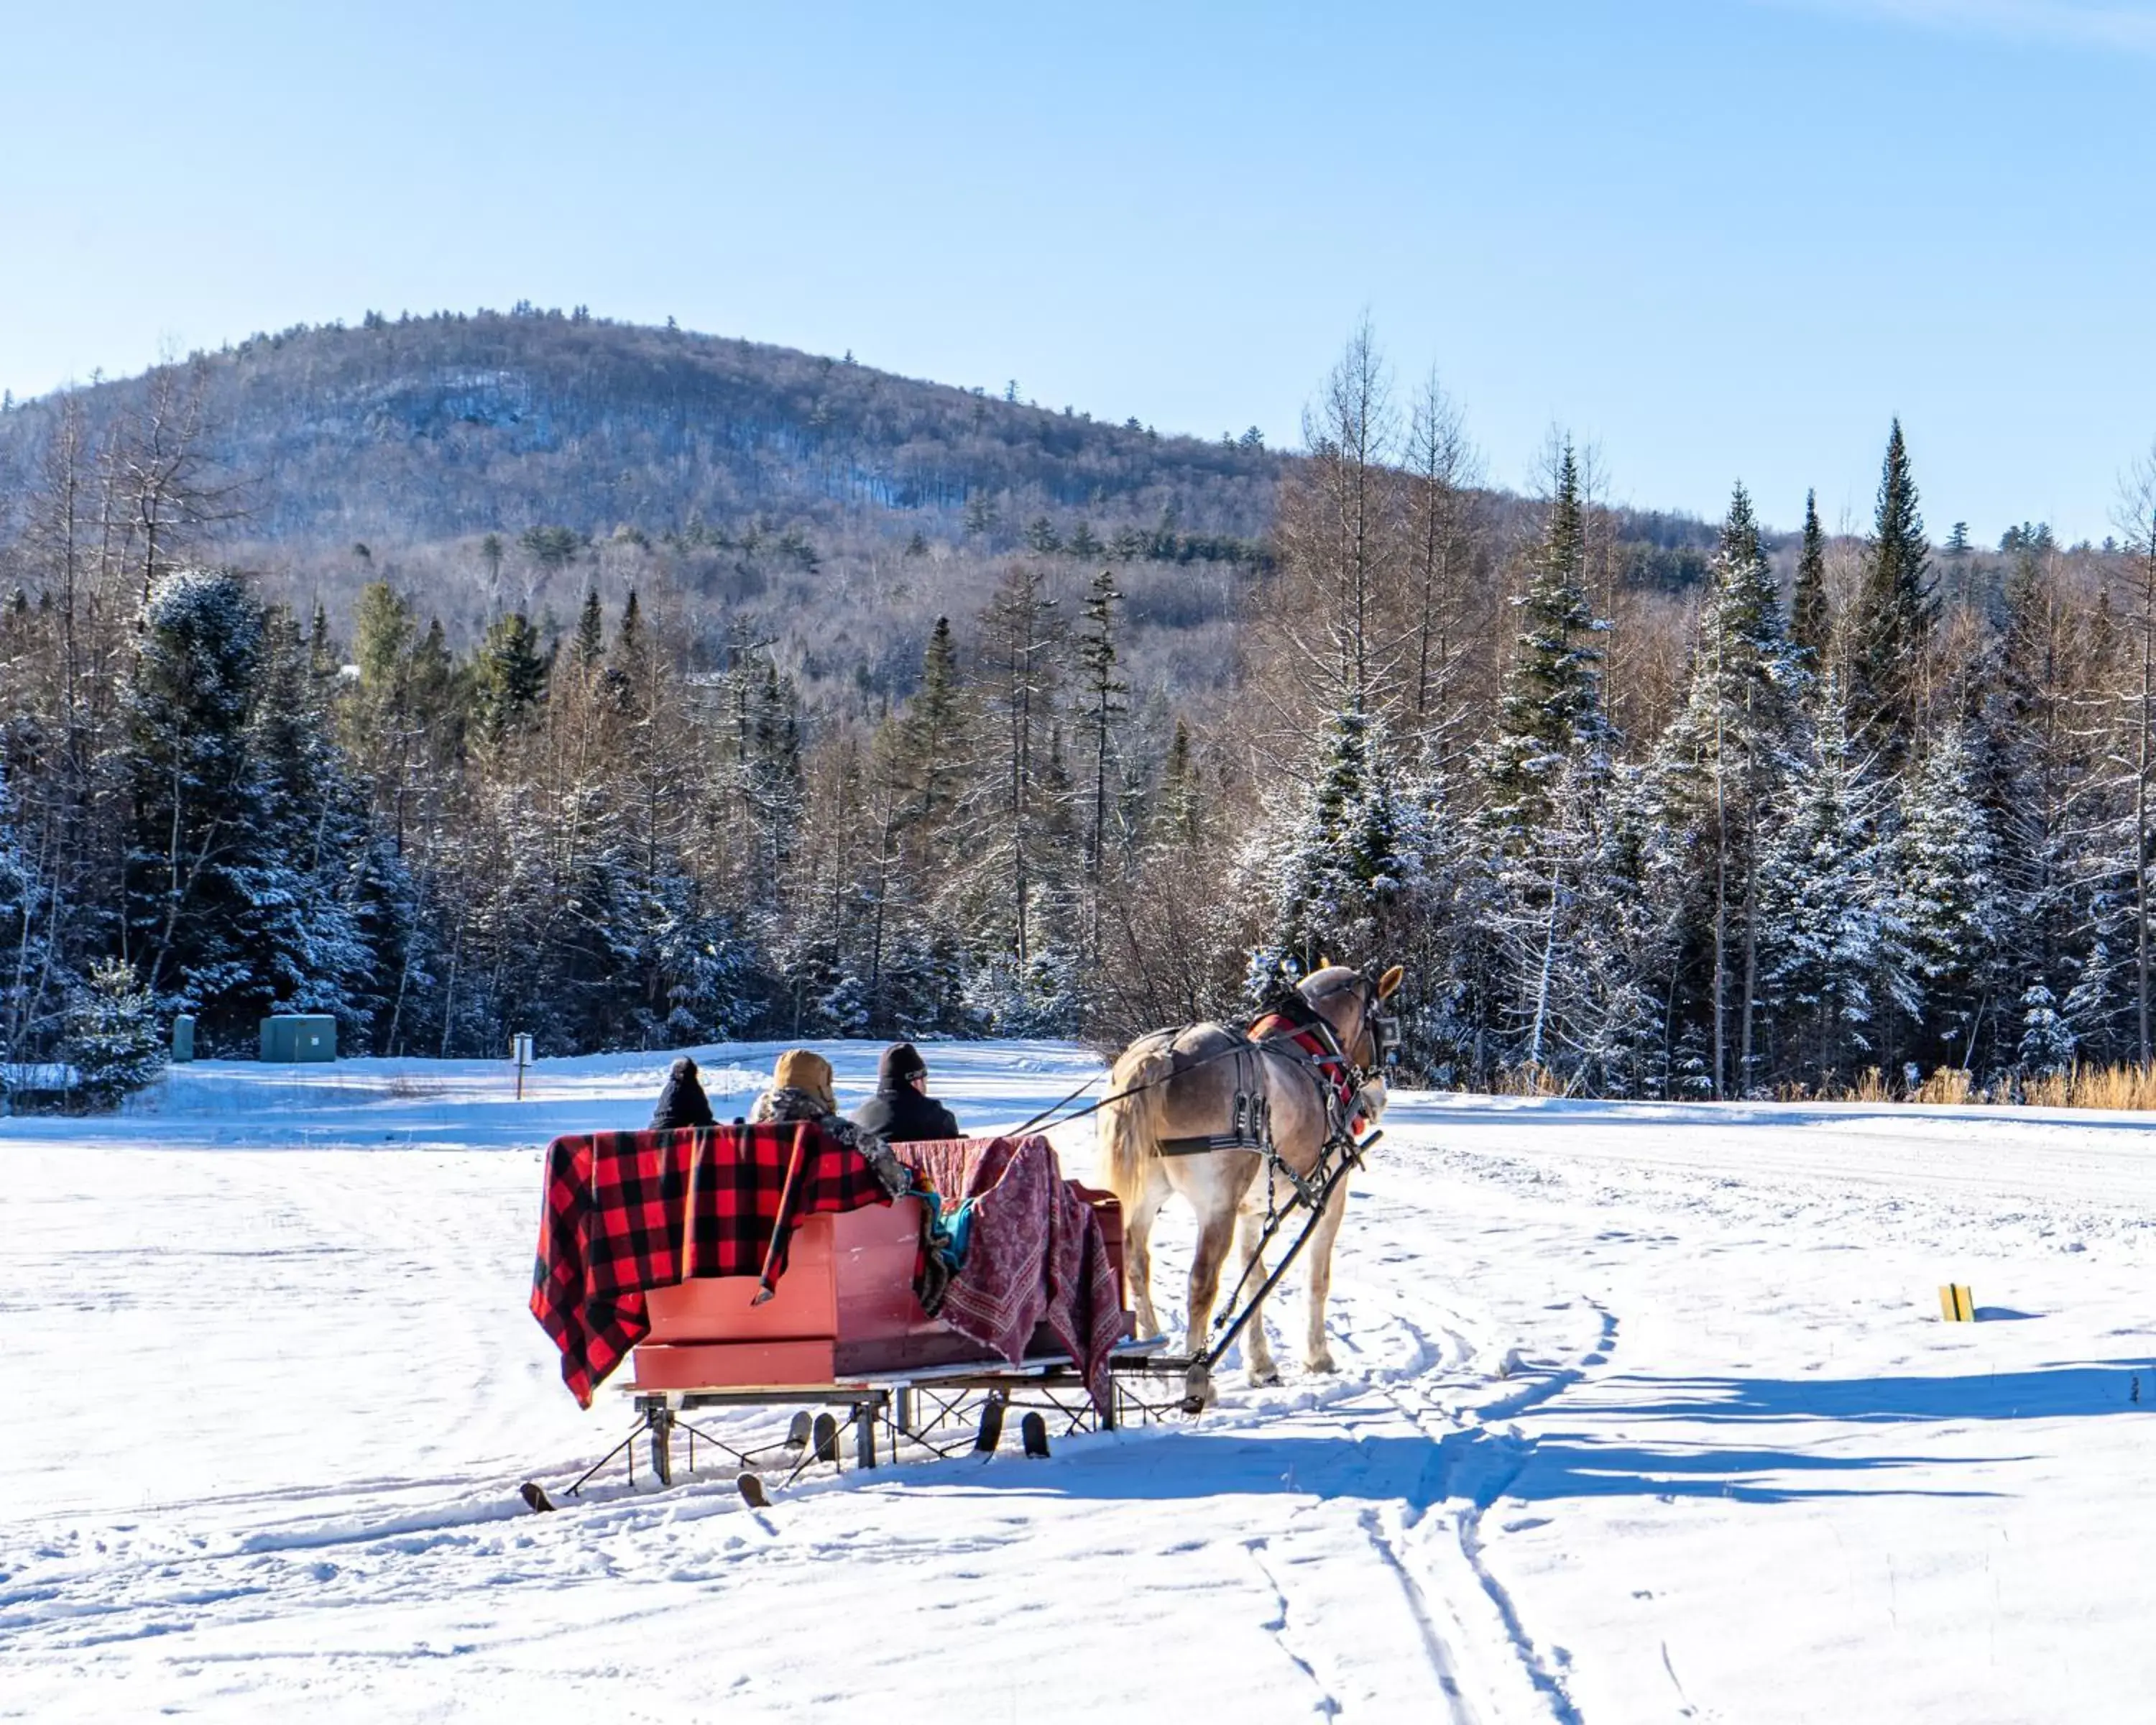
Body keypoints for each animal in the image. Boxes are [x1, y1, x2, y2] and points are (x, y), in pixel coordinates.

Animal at [1095, 962, 1397, 1406]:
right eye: (1383, 1027)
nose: (1377, 1100)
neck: (1315, 1053)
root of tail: (1161, 1056)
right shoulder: (1331, 1195)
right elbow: (1317, 1279)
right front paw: (1318, 1358)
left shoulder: (1252, 1211)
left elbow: (1255, 1277)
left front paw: (1261, 1365)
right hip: (1215, 1207)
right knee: (1201, 1284)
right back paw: (1199, 1382)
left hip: (1145, 1197)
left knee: (1137, 1266)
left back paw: (1156, 1367)